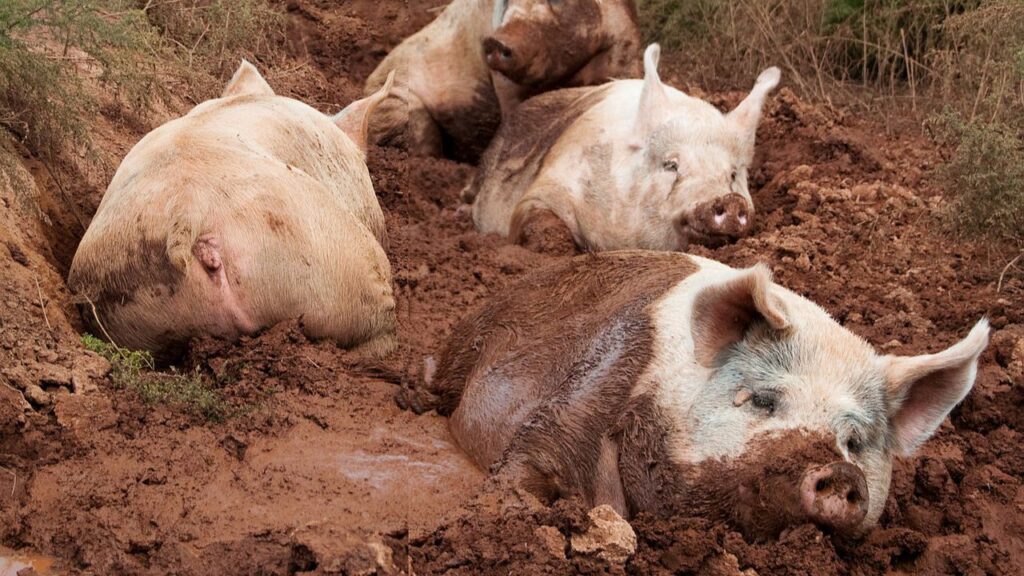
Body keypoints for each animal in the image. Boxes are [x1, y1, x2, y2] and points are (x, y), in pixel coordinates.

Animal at [364, 0, 641, 161]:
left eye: (557, 1)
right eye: (507, 4)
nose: (496, 41)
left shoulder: (624, 48)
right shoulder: (503, 82)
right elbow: (515, 114)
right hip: (400, 102)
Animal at [405, 251, 989, 539]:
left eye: (855, 442)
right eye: (763, 400)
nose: (841, 474)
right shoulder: (590, 389)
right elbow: (531, 461)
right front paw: (497, 512)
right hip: (467, 344)